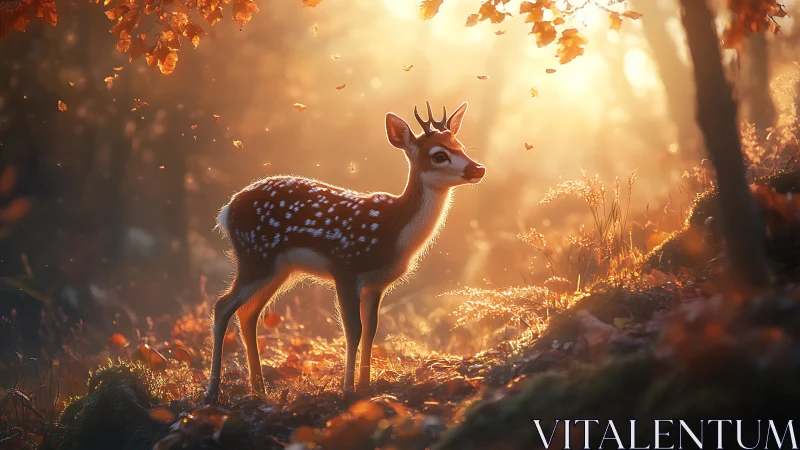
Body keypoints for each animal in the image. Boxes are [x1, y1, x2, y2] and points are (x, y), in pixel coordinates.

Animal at [204, 101, 486, 404]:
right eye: (439, 154)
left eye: (461, 145)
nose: (479, 168)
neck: (393, 229)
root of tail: (226, 211)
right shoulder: (345, 267)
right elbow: (353, 329)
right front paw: (348, 389)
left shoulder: (377, 283)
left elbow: (371, 329)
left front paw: (365, 386)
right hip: (255, 256)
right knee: (222, 305)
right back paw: (212, 392)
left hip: (277, 269)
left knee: (248, 313)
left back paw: (259, 388)